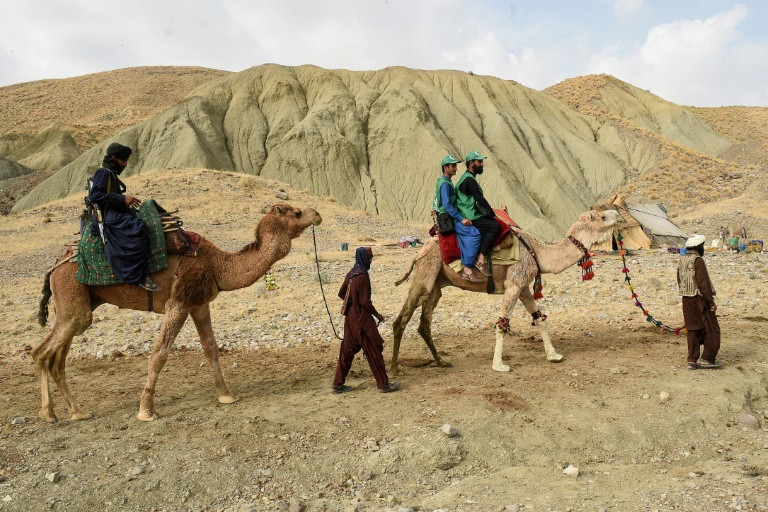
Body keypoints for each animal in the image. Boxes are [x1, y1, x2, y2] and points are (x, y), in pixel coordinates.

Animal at [32, 204, 320, 424]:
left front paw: (227, 395)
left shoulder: (199, 304)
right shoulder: (178, 302)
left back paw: (76, 412)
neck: (217, 264)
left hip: (79, 303)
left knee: (56, 358)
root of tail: (54, 266)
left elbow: (211, 348)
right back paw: (49, 413)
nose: (316, 213)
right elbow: (159, 354)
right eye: (296, 213)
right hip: (73, 298)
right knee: (42, 353)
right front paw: (146, 411)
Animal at [392, 210, 620, 374]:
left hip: (438, 284)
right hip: (426, 271)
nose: (617, 213)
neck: (538, 252)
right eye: (602, 216)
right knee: (402, 318)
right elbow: (502, 323)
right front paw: (499, 365)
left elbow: (539, 318)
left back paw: (441, 362)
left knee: (424, 323)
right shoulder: (513, 285)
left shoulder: (524, 287)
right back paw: (395, 369)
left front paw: (554, 355)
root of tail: (419, 252)